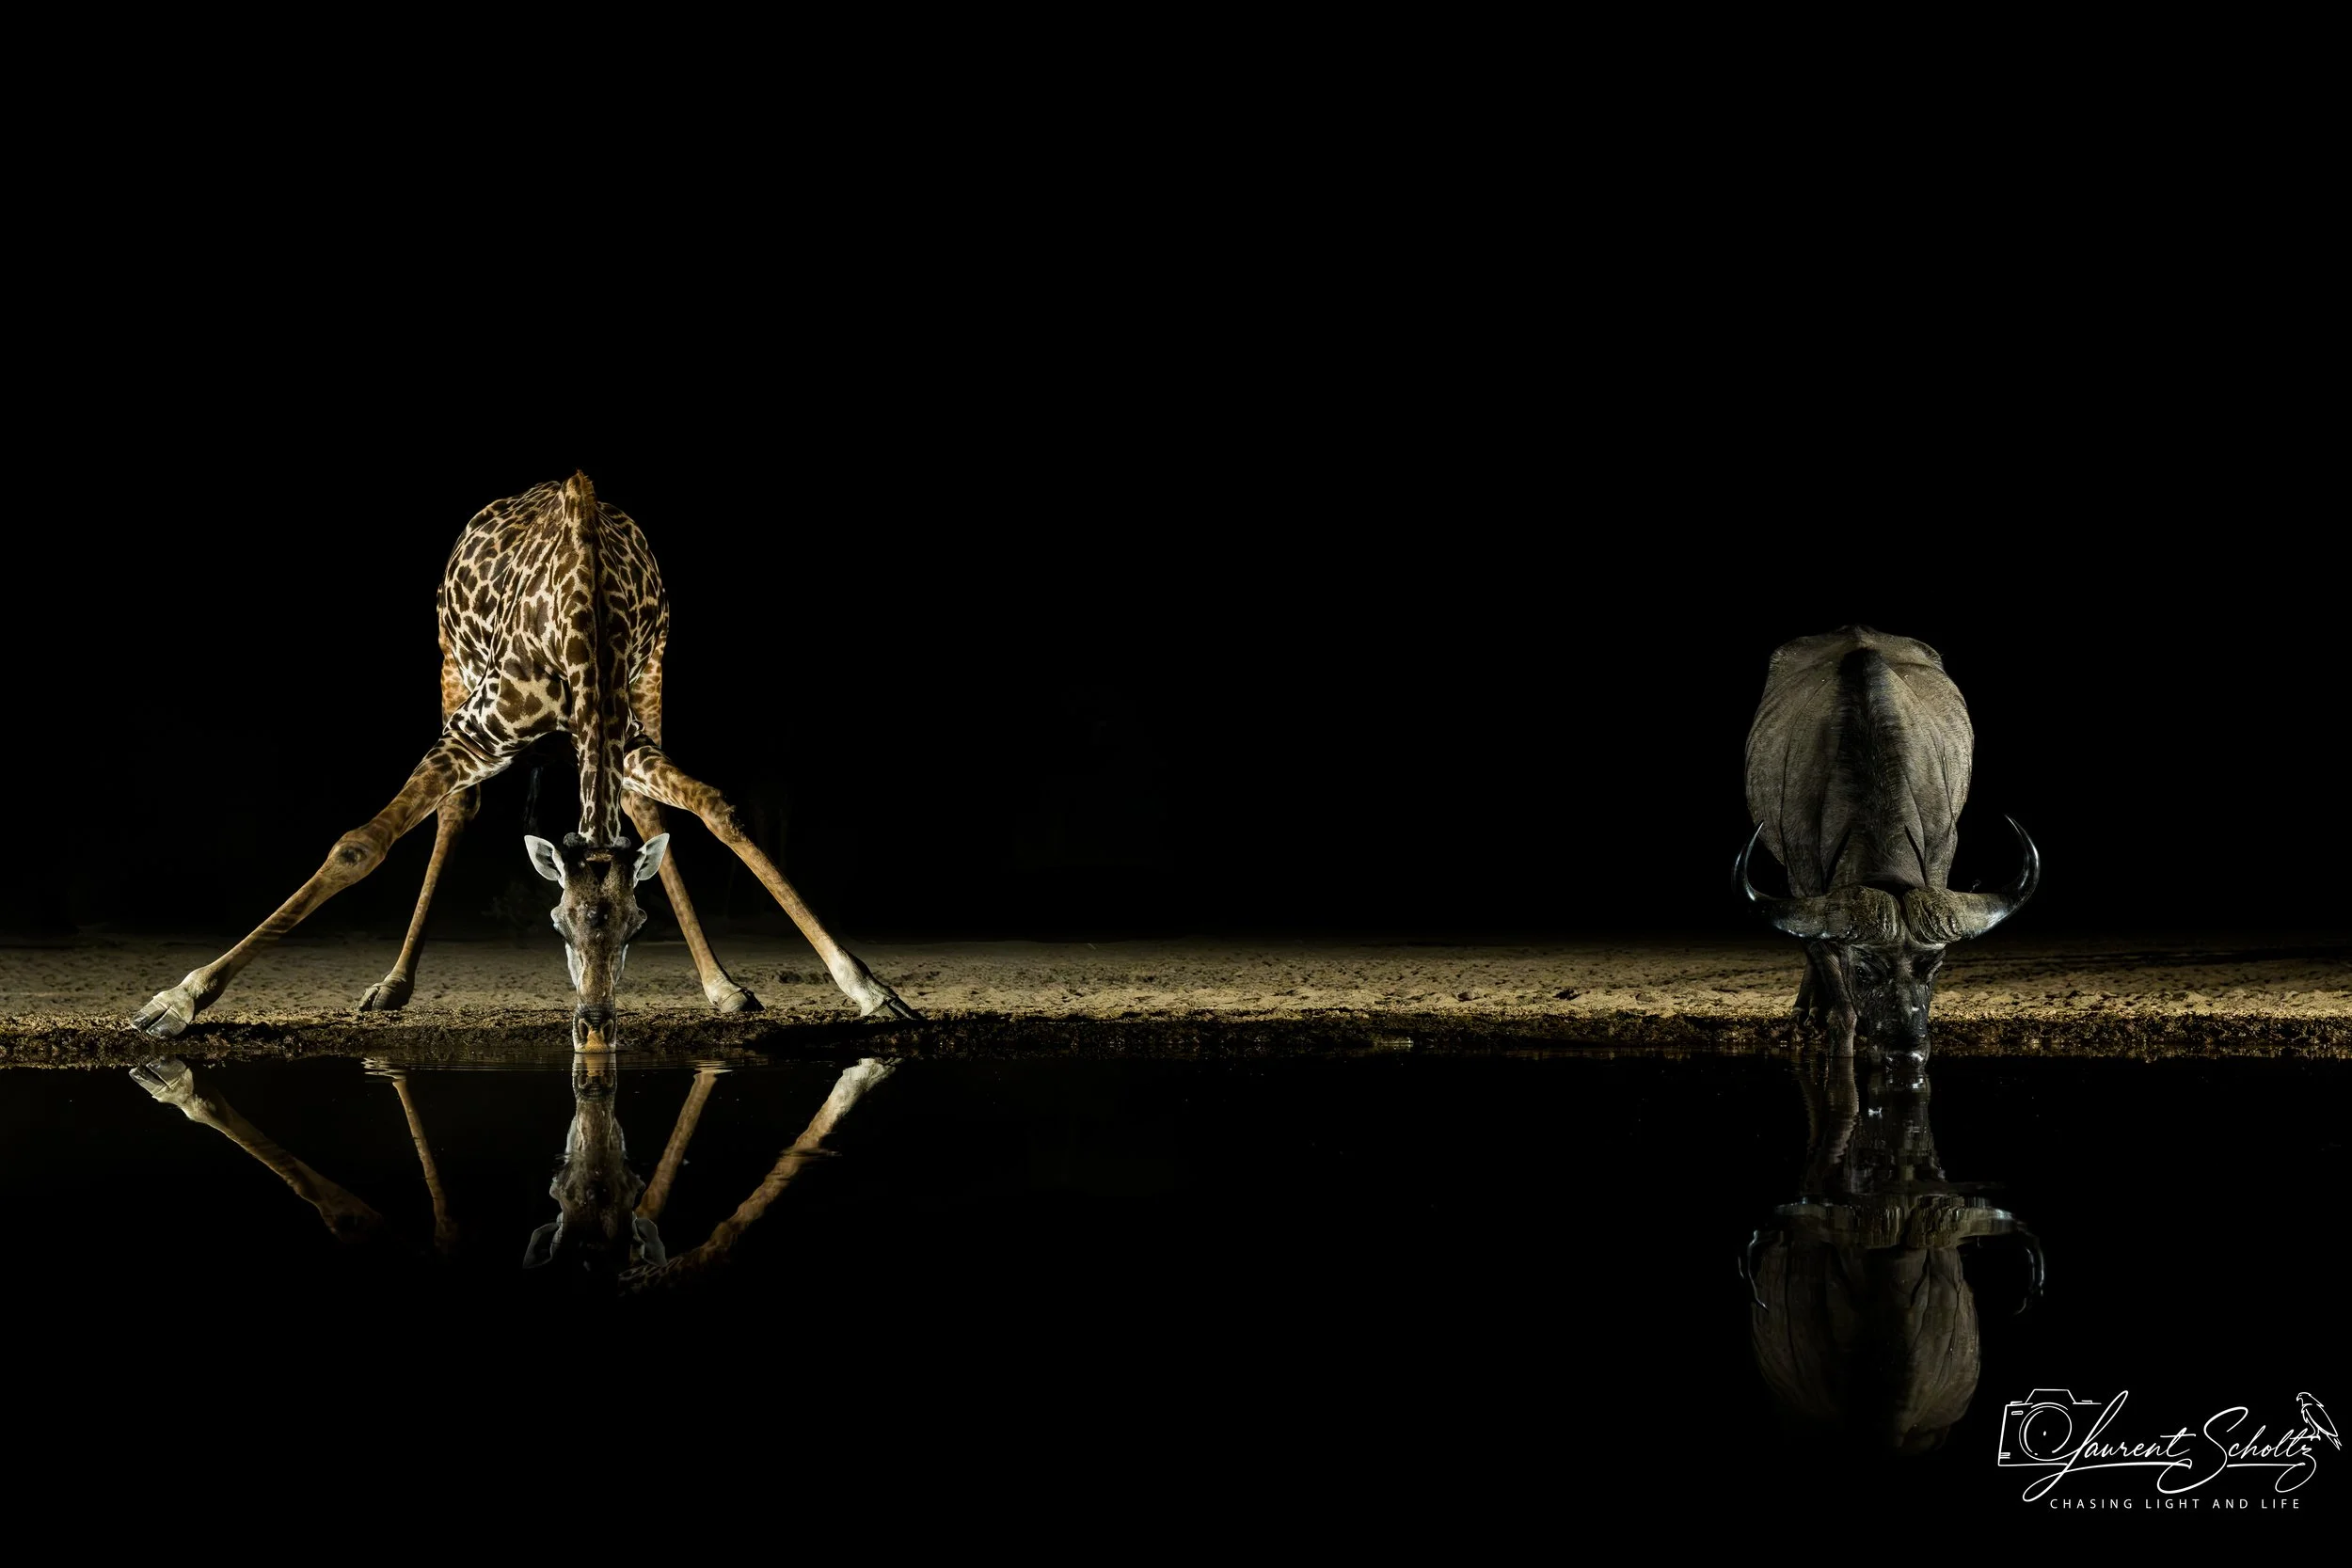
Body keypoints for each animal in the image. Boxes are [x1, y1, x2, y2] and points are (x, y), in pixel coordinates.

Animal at [131, 472, 917, 1047]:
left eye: (637, 927)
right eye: (558, 924)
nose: (595, 1026)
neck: (583, 621)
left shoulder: (628, 735)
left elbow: (719, 809)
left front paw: (869, 986)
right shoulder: (475, 733)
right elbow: (360, 846)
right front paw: (177, 998)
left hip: (651, 680)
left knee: (647, 812)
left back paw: (720, 984)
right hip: (451, 662)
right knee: (457, 810)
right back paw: (393, 984)